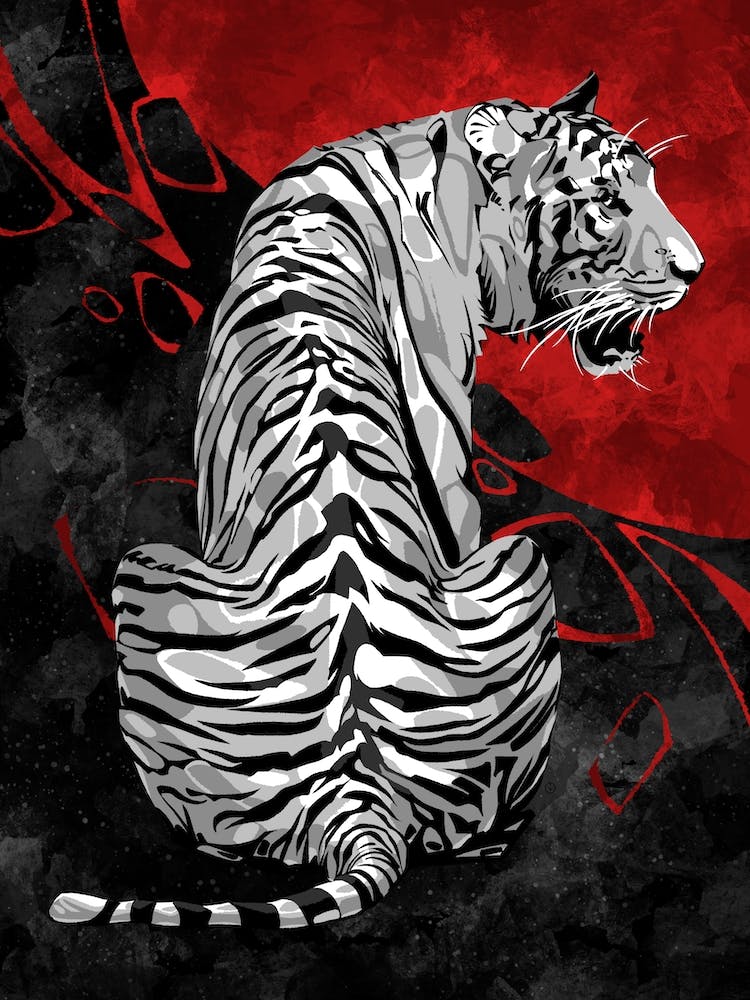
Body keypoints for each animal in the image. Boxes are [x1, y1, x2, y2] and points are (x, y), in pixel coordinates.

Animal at [50, 72, 702, 930]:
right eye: (609, 201)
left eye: (652, 184)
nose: (697, 270)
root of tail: (358, 792)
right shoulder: (450, 466)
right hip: (507, 557)